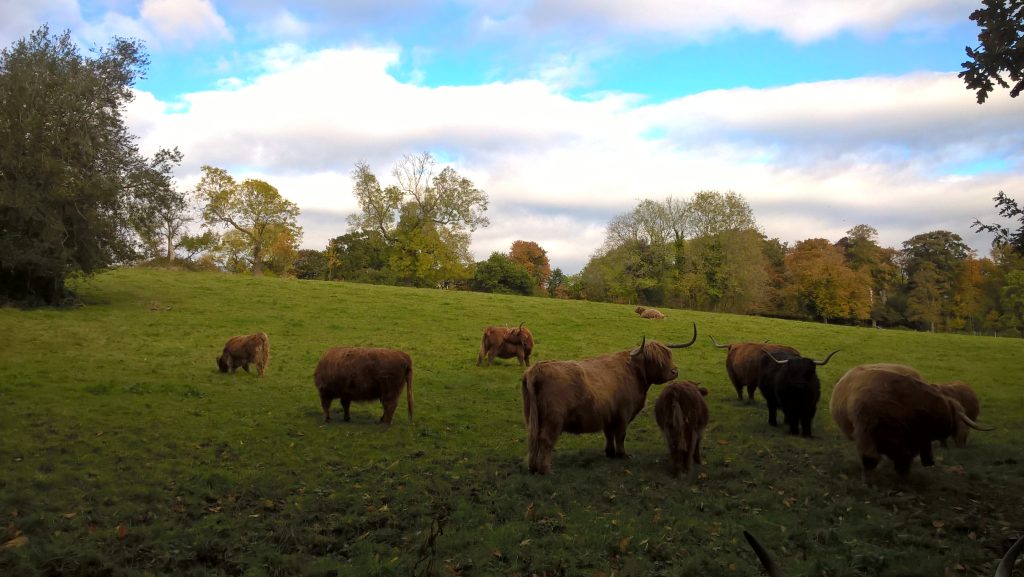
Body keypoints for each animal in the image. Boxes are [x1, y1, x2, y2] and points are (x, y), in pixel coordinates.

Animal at [520, 323, 696, 471]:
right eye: (654, 359)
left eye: (669, 354)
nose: (674, 371)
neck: (634, 373)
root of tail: (535, 369)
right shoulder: (623, 414)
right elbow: (620, 435)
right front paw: (622, 455)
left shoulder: (608, 414)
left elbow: (609, 434)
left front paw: (610, 453)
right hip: (554, 419)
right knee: (545, 440)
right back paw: (545, 469)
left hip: (533, 418)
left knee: (533, 439)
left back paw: (533, 467)